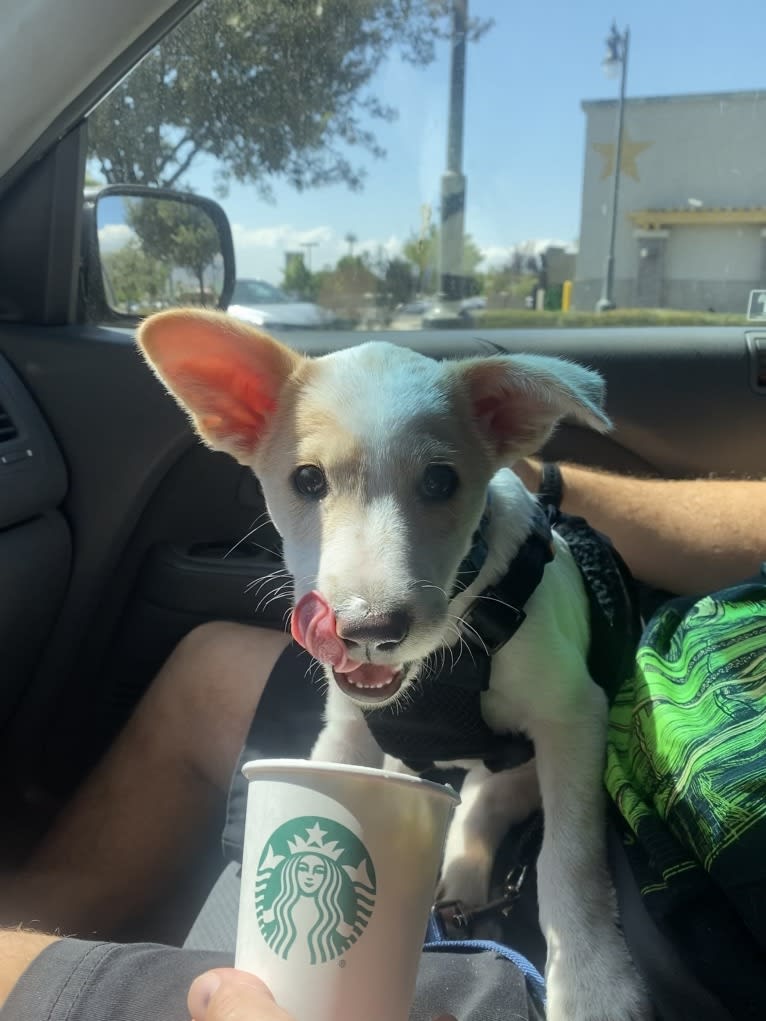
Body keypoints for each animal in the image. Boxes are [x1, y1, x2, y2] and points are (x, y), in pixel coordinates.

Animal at [139, 310, 653, 1021]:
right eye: (307, 480)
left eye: (440, 482)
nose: (368, 631)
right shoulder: (348, 731)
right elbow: (331, 777)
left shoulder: (574, 717)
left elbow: (568, 856)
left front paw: (592, 982)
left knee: (488, 803)